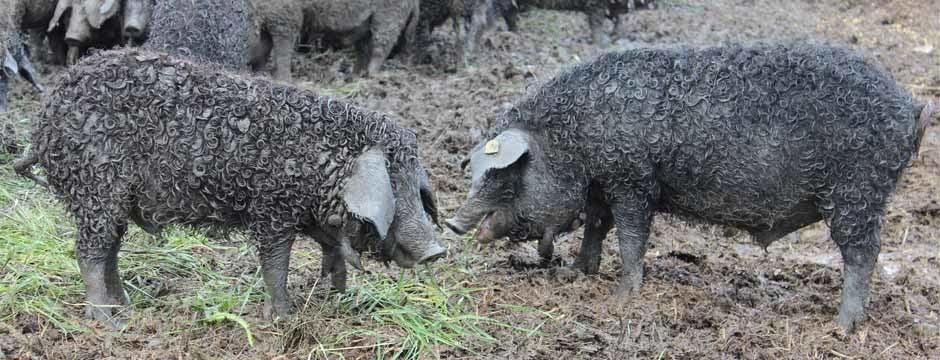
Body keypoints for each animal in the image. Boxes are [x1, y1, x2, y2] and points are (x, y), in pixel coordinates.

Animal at [14, 48, 448, 330]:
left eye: (417, 188)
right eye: (393, 186)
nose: (437, 250)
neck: (323, 164)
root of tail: (44, 119)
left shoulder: (308, 214)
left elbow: (332, 252)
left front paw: (337, 296)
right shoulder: (272, 212)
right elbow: (275, 266)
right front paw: (285, 318)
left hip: (114, 202)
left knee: (110, 254)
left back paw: (127, 308)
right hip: (96, 190)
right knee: (88, 254)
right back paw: (108, 324)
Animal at [446, 41, 932, 332]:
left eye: (504, 176)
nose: (452, 223)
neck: (573, 139)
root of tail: (911, 106)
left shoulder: (632, 179)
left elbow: (631, 237)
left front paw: (622, 297)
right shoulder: (603, 185)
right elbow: (597, 229)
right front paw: (577, 273)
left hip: (857, 192)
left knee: (863, 255)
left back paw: (842, 326)